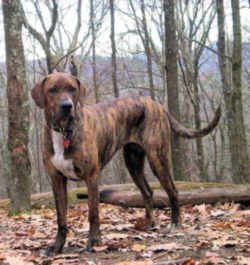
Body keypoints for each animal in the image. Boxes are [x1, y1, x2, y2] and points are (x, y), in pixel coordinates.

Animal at [31, 71, 221, 253]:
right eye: (52, 90)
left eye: (72, 89)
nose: (67, 105)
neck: (63, 131)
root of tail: (158, 105)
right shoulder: (57, 179)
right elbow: (61, 217)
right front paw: (57, 246)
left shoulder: (91, 177)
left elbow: (93, 213)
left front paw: (94, 242)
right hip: (133, 162)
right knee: (148, 192)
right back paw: (149, 224)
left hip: (158, 158)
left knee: (173, 191)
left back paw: (175, 224)